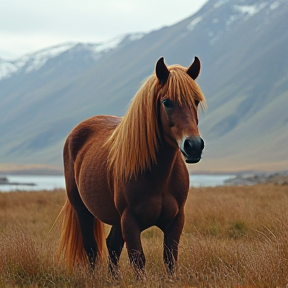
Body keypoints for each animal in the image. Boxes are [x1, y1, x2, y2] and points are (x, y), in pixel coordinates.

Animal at [57, 56, 206, 276]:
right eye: (166, 102)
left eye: (195, 101)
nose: (194, 146)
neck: (159, 177)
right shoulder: (130, 221)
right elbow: (138, 261)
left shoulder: (175, 220)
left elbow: (170, 260)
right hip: (82, 209)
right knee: (91, 249)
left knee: (112, 246)